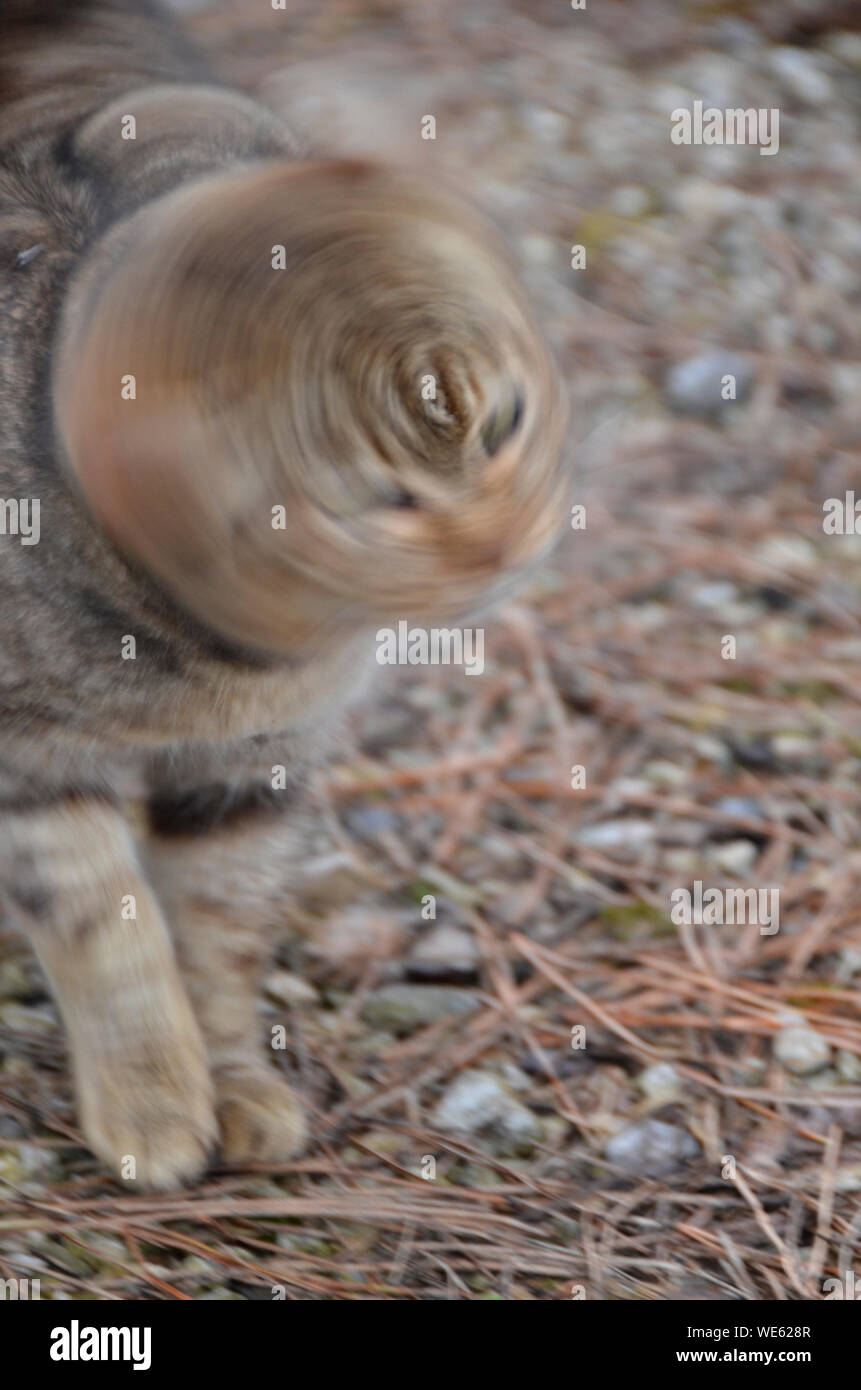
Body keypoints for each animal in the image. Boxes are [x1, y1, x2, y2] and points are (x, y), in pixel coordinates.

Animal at [0, 2, 570, 1195]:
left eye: (504, 421)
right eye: (381, 499)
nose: (507, 542)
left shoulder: (253, 768)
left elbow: (219, 934)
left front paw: (236, 1086)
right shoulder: (29, 761)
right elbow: (110, 934)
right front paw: (154, 1104)